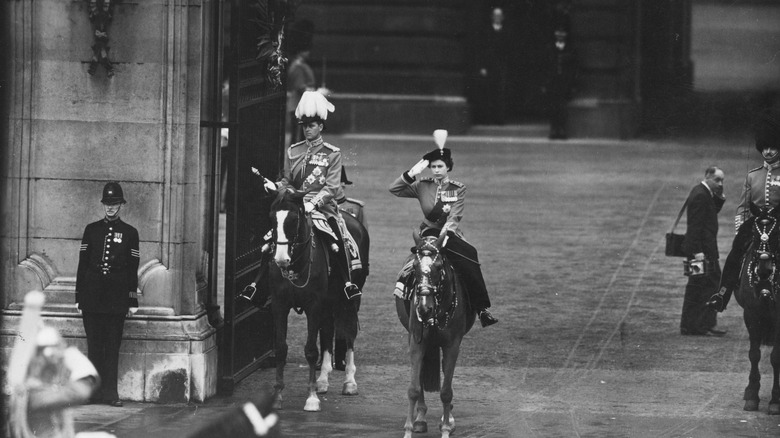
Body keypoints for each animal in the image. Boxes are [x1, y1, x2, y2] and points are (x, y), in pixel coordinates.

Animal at [266, 191, 330, 410]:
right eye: (271, 218)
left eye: (294, 220)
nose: (281, 259)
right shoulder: (279, 305)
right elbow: (280, 348)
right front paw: (277, 395)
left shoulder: (315, 306)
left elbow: (310, 350)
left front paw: (311, 397)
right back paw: (323, 380)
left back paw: (347, 382)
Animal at [396, 231, 476, 436]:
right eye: (415, 267)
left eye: (439, 266)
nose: (424, 308)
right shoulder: (417, 342)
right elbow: (414, 388)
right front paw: (408, 429)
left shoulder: (452, 345)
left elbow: (446, 391)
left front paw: (446, 428)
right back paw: (420, 418)